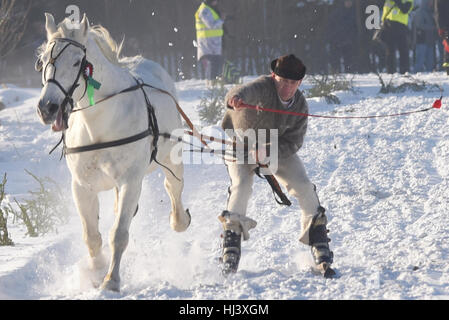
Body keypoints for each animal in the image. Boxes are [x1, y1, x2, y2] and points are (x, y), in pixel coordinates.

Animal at [34, 13, 189, 292]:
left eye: (77, 61)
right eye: (42, 62)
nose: (47, 108)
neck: (99, 125)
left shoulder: (131, 181)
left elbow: (118, 234)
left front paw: (111, 280)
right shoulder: (81, 186)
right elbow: (91, 236)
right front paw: (96, 272)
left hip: (171, 158)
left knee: (173, 187)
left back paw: (179, 220)